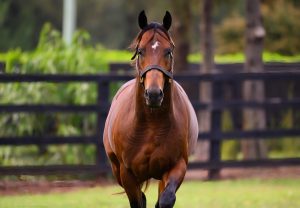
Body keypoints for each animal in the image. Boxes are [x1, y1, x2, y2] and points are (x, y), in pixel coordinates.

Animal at [103, 10, 199, 207]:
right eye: (140, 51)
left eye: (168, 52)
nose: (154, 94)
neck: (151, 125)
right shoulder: (127, 173)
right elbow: (138, 201)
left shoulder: (177, 166)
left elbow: (166, 199)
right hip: (117, 170)